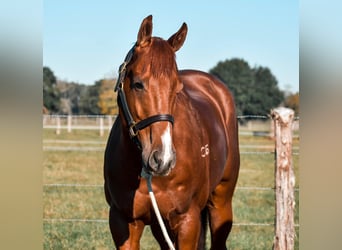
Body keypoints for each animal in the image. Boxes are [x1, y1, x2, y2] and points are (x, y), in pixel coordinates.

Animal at [104, 15, 240, 248]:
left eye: (177, 88)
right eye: (138, 84)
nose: (163, 159)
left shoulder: (187, 221)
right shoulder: (122, 222)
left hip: (221, 202)